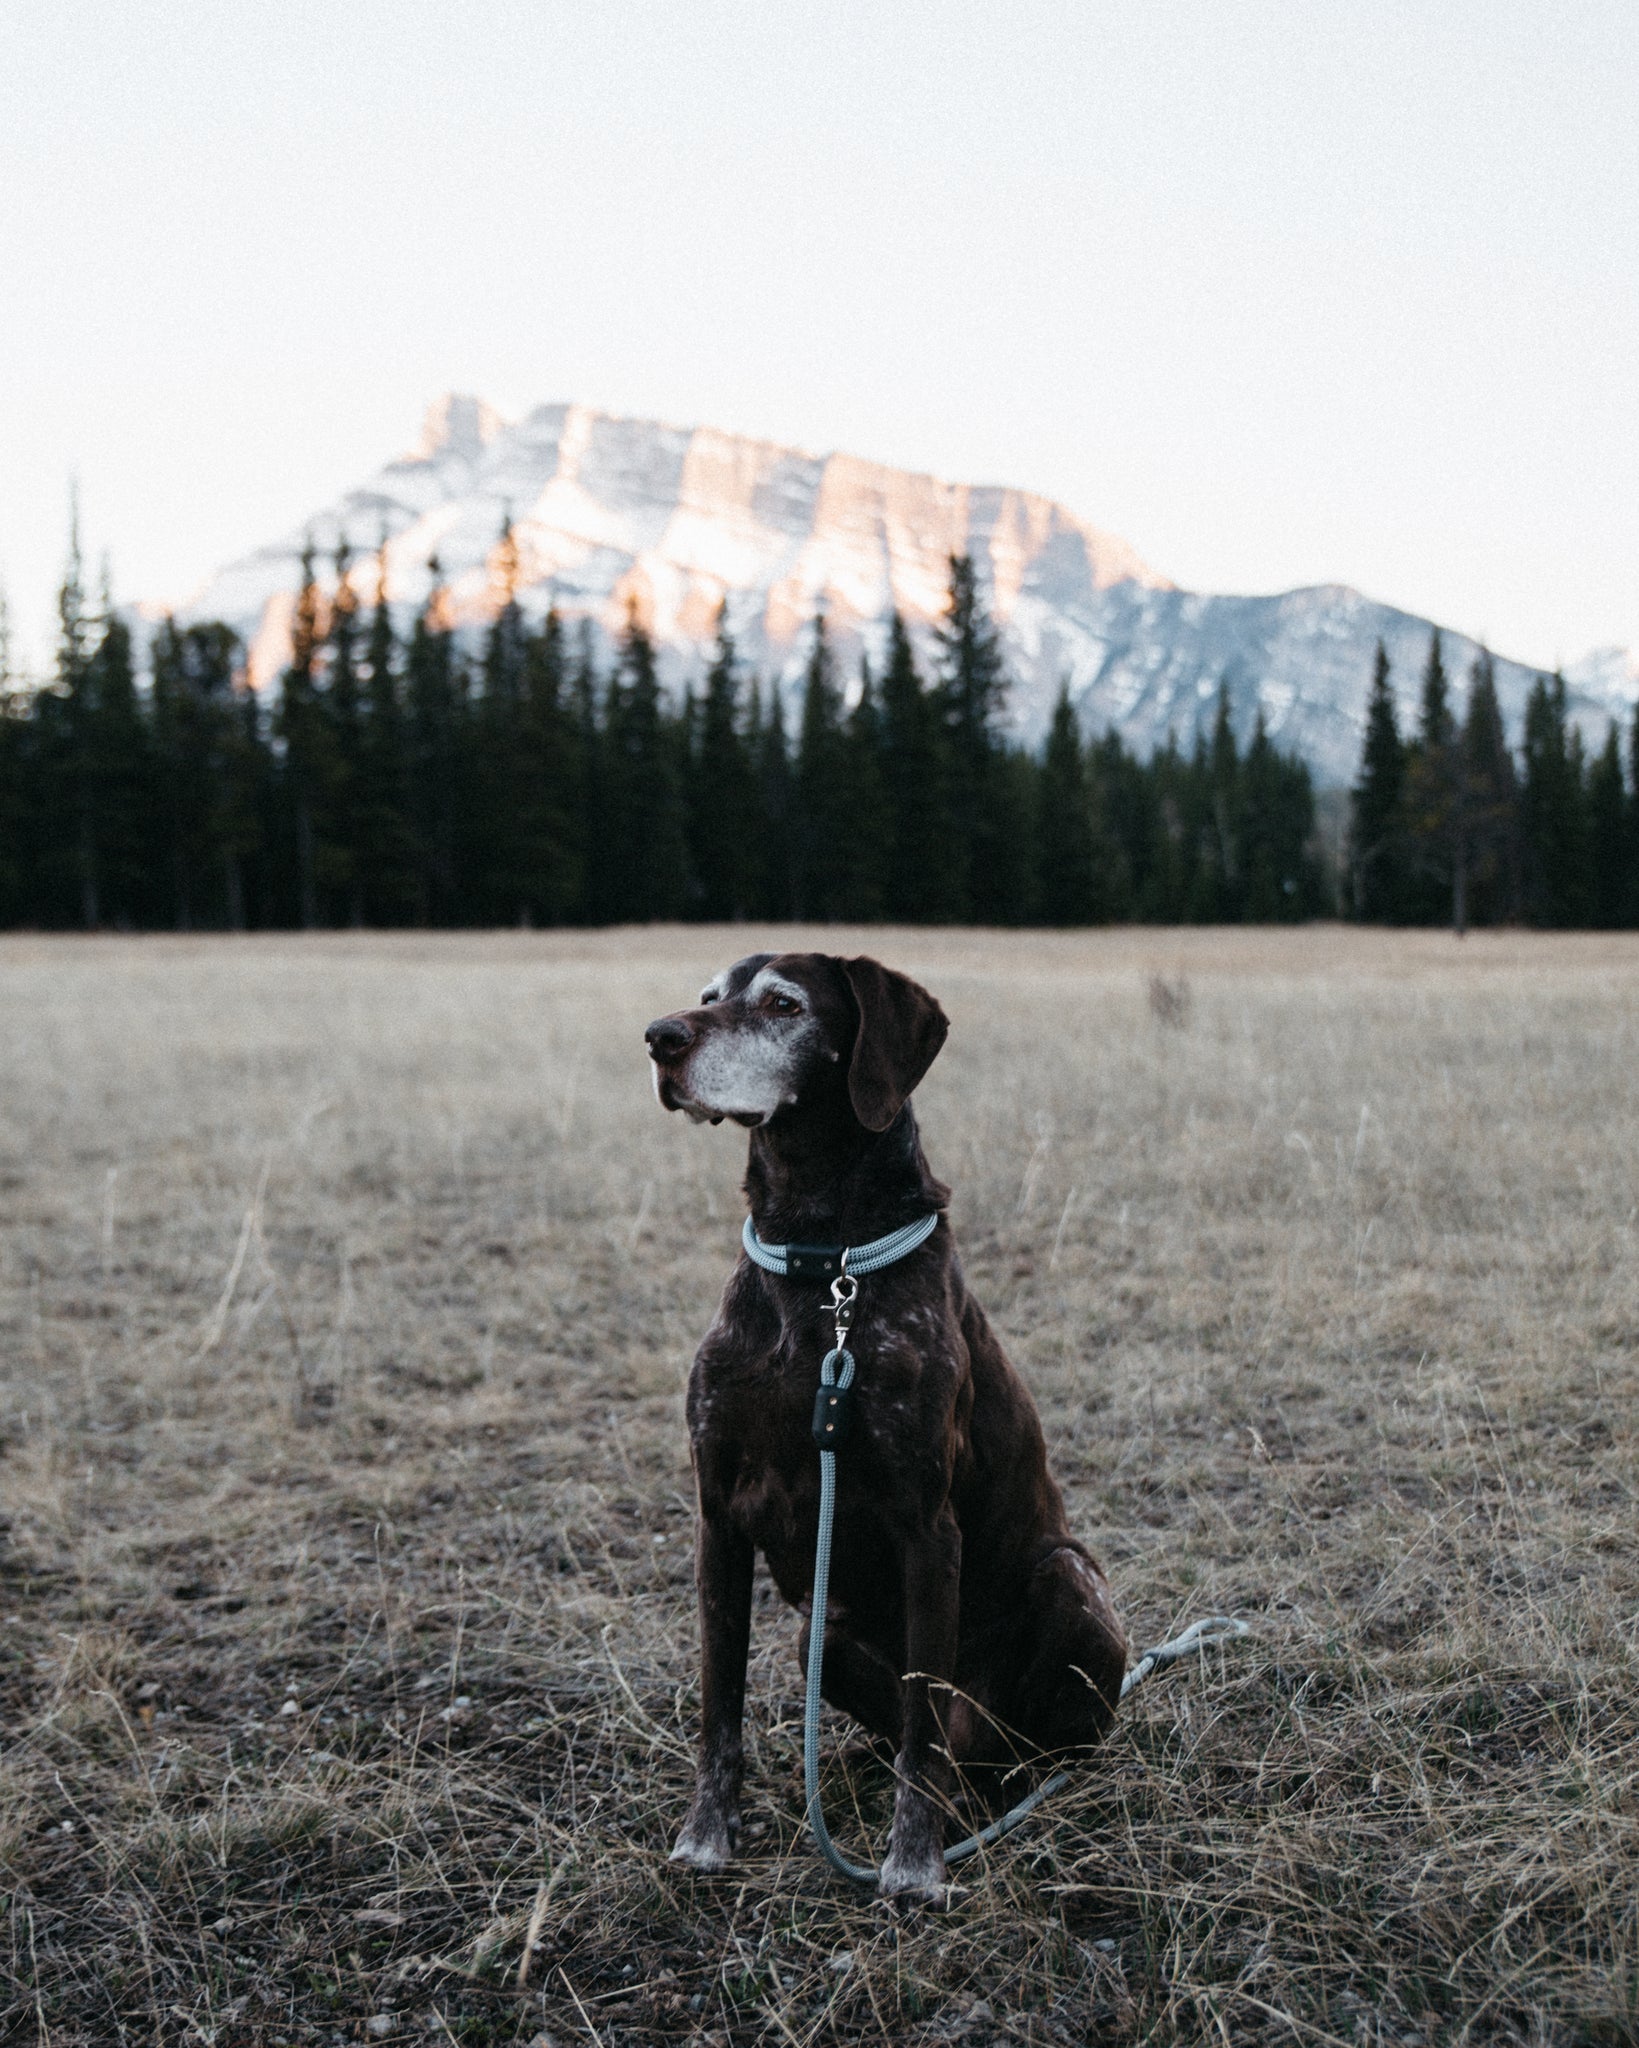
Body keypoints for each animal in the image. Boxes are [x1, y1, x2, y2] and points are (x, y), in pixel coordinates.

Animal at [643, 950, 1130, 1892]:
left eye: (783, 1005)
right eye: (709, 994)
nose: (658, 1037)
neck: (819, 1267)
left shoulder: (925, 1529)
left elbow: (920, 1727)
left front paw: (913, 1868)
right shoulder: (717, 1519)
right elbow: (720, 1709)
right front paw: (706, 1836)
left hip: (1065, 1577)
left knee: (1004, 1748)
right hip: (820, 1641)